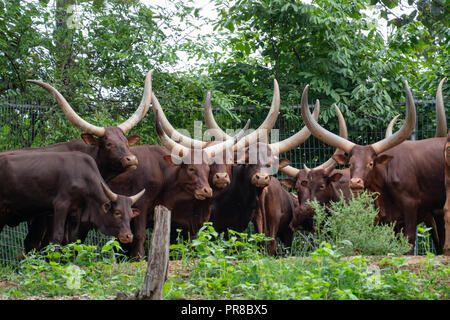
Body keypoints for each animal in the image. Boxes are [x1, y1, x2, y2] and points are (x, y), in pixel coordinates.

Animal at [0, 151, 144, 244]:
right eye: (117, 213)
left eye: (131, 215)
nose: (128, 236)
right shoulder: (61, 206)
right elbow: (57, 237)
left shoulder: (76, 212)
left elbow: (73, 239)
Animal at [300, 79, 448, 254]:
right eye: (350, 163)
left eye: (370, 163)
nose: (355, 182)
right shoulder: (392, 220)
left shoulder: (410, 206)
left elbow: (409, 241)